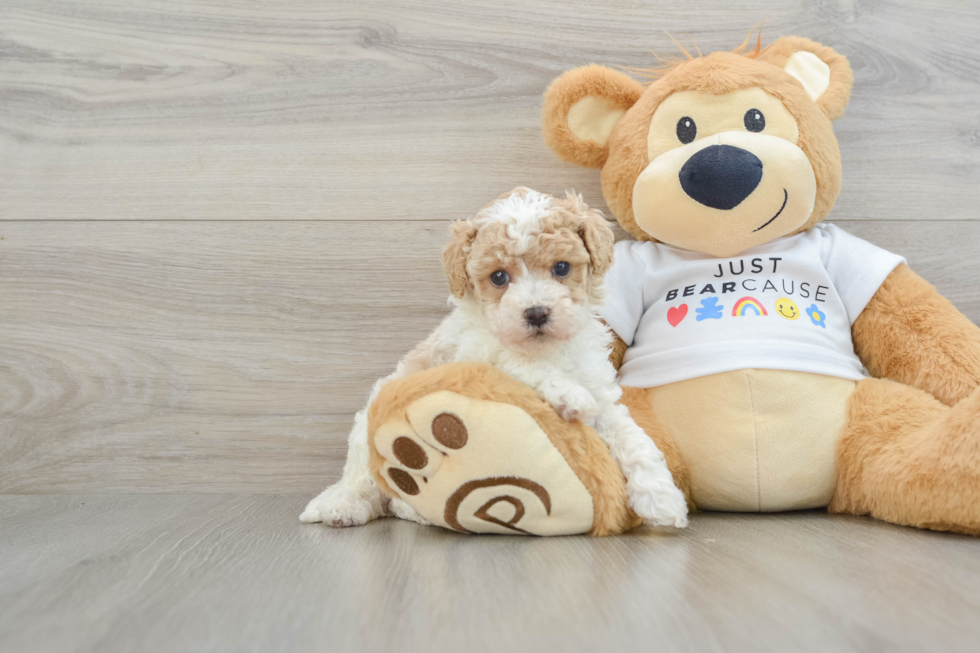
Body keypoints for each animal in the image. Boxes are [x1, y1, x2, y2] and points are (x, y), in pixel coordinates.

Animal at [300, 186, 688, 528]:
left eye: (562, 268)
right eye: (499, 277)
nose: (536, 313)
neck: (545, 347)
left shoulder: (602, 392)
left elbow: (633, 438)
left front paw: (662, 499)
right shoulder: (475, 352)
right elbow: (516, 361)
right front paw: (569, 394)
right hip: (366, 433)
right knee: (368, 484)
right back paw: (343, 506)